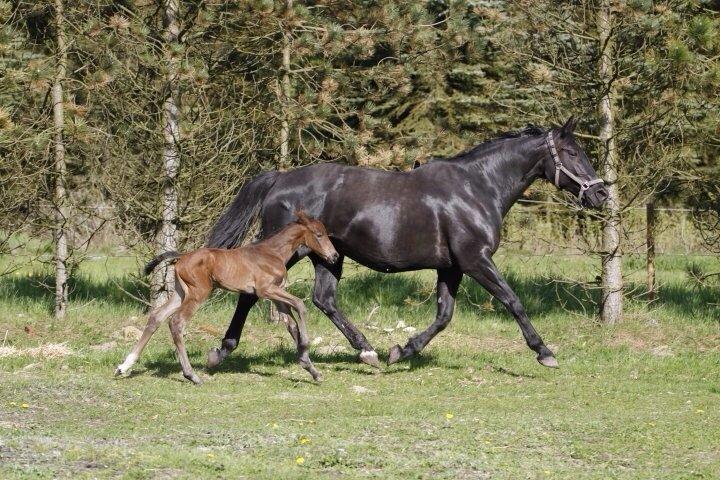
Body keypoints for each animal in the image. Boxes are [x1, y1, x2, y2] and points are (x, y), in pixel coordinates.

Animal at [114, 212, 338, 384]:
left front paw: (311, 369)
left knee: (157, 317)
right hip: (198, 293)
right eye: (319, 235)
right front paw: (306, 350)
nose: (334, 256)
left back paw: (124, 366)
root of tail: (182, 257)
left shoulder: (276, 293)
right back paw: (191, 375)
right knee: (176, 322)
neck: (272, 252)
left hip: (180, 293)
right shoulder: (266, 290)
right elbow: (301, 305)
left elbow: (291, 324)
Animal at [202, 118, 608, 370]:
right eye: (573, 153)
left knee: (324, 299)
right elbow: (513, 301)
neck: (477, 188)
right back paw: (220, 353)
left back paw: (367, 351)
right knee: (253, 294)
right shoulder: (475, 260)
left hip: (328, 256)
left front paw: (402, 350)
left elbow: (444, 316)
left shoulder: (451, 267)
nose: (601, 194)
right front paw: (545, 352)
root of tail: (280, 180)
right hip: (290, 254)